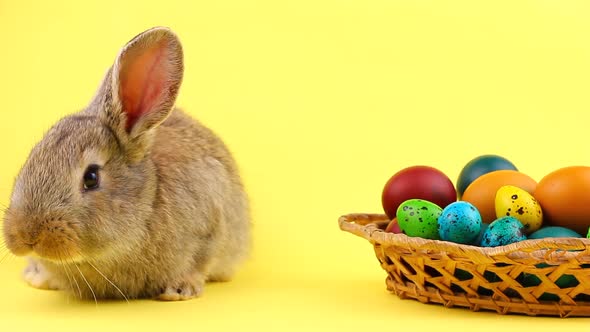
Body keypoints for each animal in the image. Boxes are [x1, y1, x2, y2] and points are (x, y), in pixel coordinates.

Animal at [0, 26, 250, 300]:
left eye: (91, 177)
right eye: (31, 159)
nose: (25, 234)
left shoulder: (211, 225)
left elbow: (200, 261)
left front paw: (179, 290)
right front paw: (38, 276)